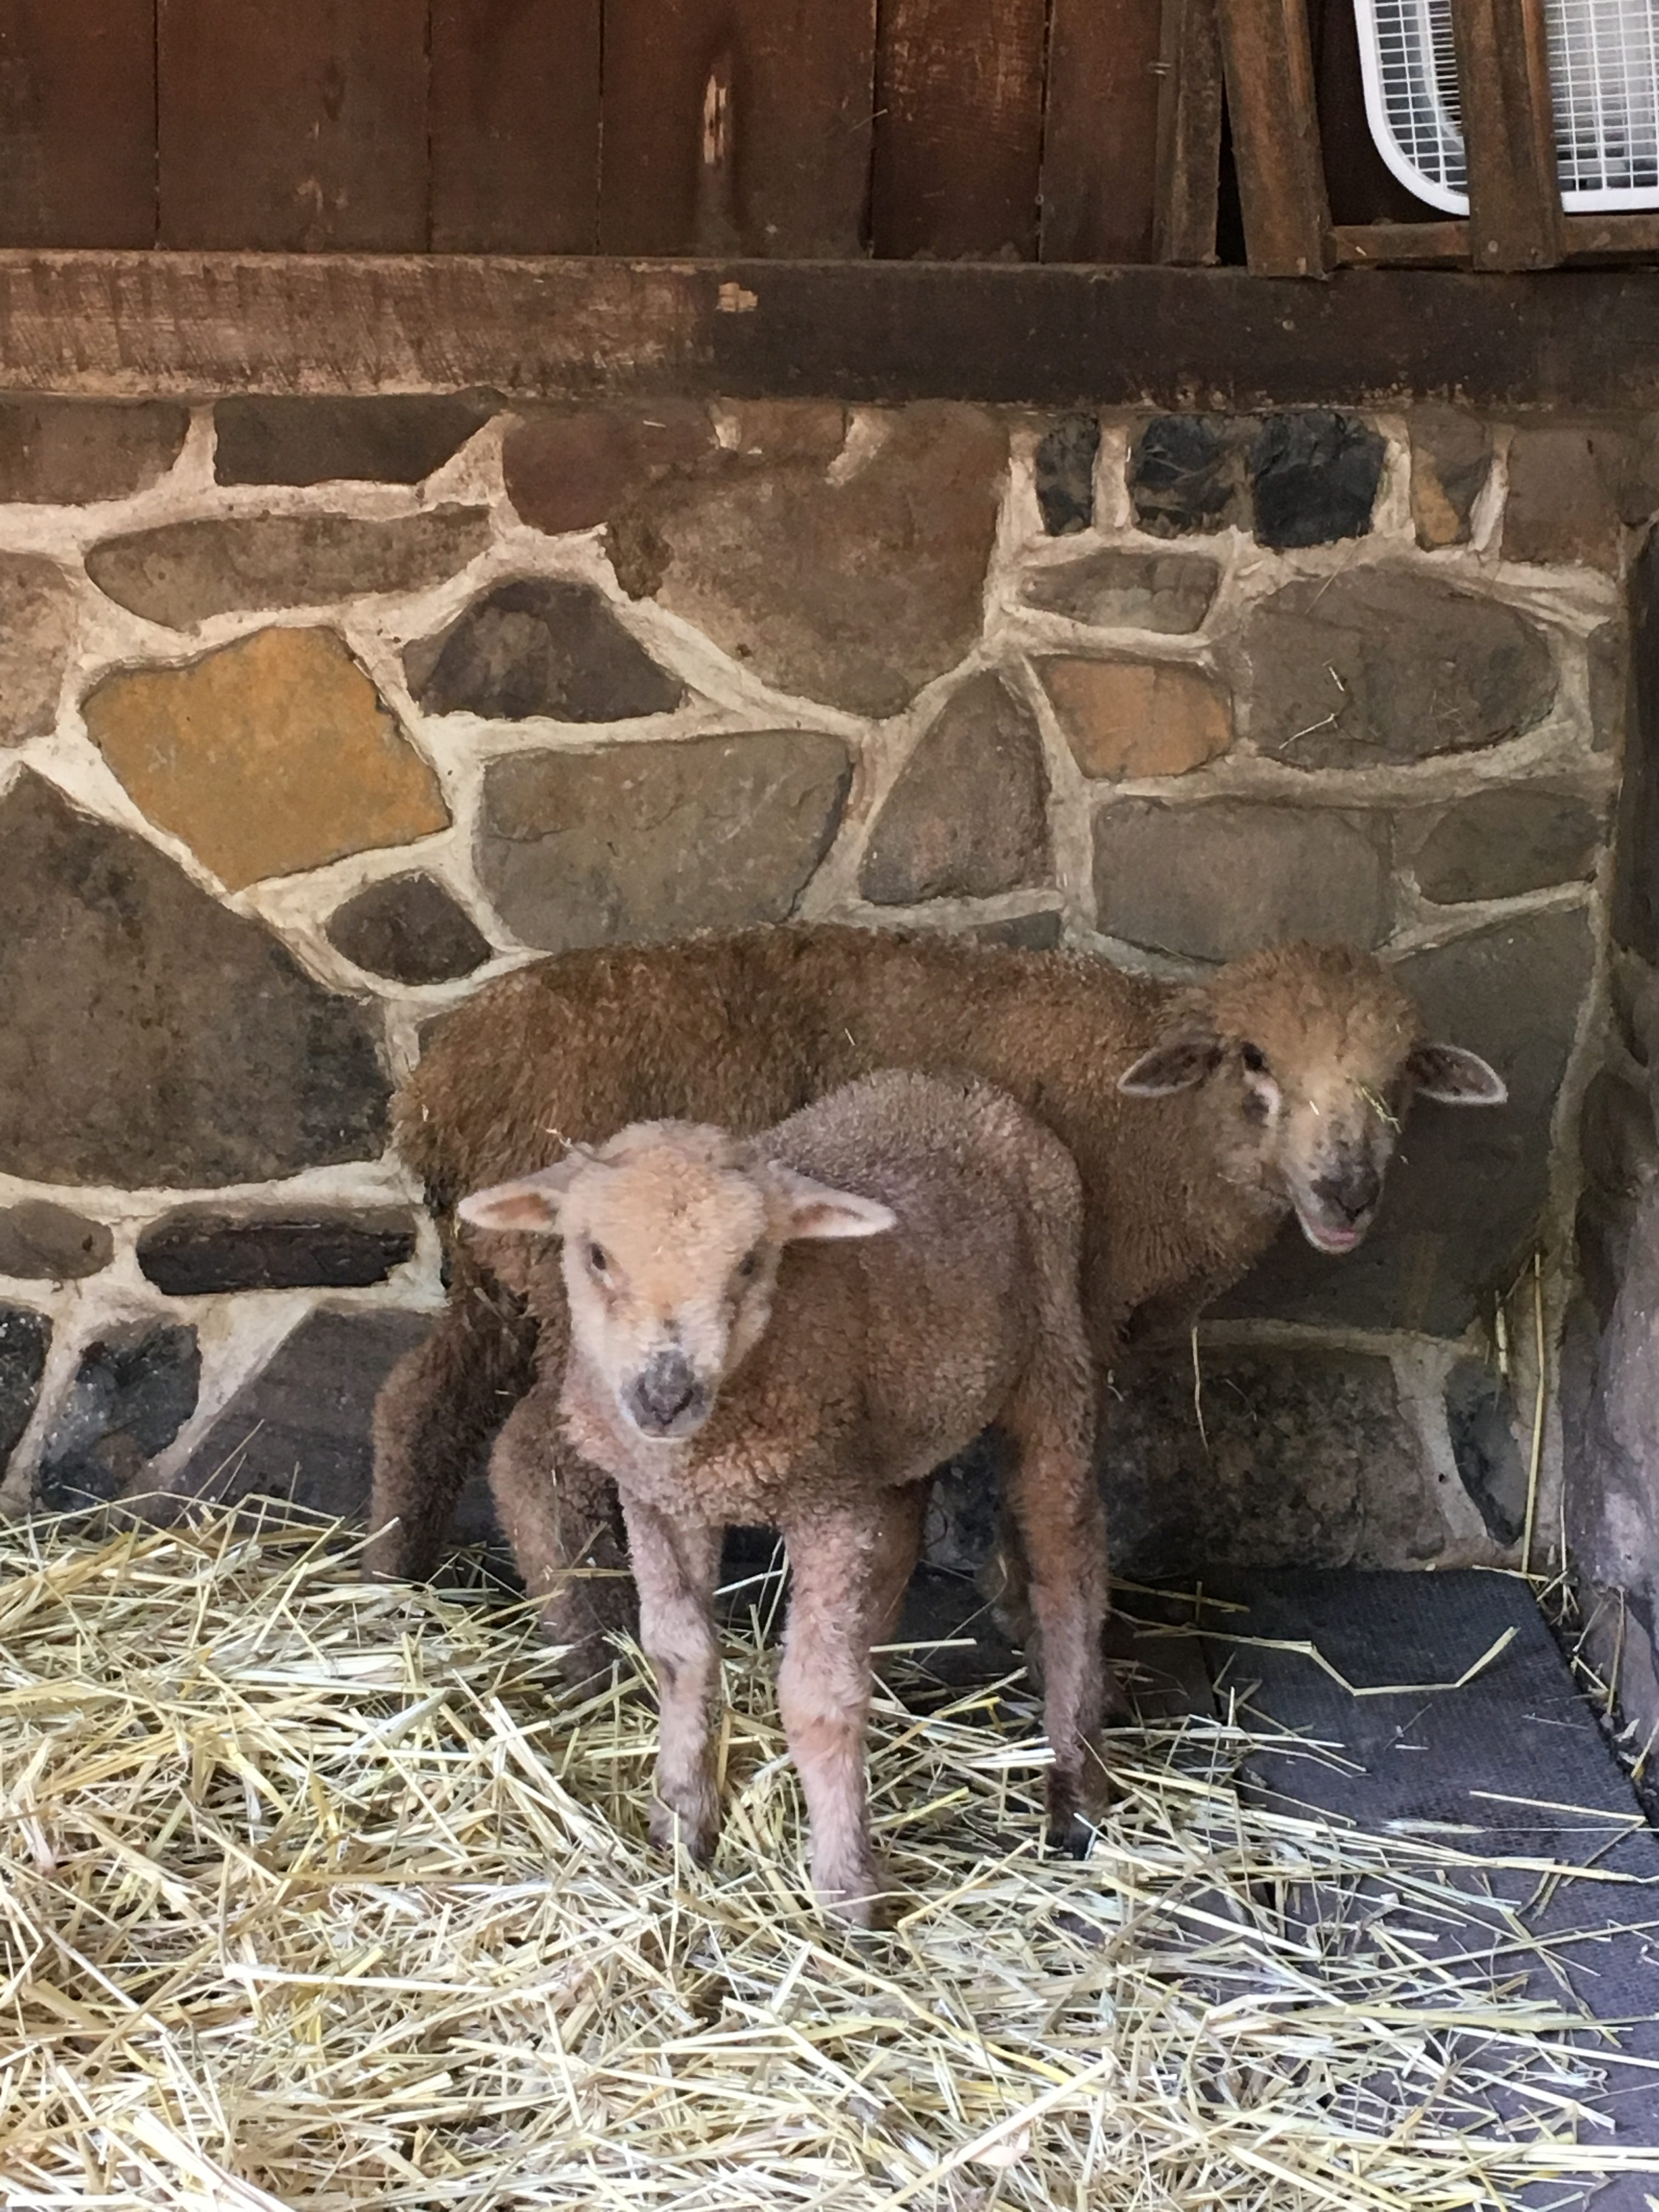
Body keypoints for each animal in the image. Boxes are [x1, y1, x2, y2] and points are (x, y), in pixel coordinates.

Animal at [369, 925, 1506, 1659]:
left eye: (1399, 1075)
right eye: (1254, 1058)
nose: (1345, 1190)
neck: (1163, 1133)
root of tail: (438, 1093)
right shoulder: (1073, 1313)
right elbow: (1043, 1467)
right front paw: (1029, 1609)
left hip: (499, 1282)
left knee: (417, 1405)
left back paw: (395, 1571)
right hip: (590, 1306)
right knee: (530, 1459)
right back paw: (591, 1649)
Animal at [456, 1070, 1112, 1924]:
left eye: (749, 1263)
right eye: (595, 1254)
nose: (664, 1395)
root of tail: (952, 1085)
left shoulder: (826, 1504)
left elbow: (817, 1695)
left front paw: (845, 1890)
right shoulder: (662, 1499)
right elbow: (680, 1656)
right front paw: (682, 1824)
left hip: (1053, 1357)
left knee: (1067, 1562)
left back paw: (1074, 1786)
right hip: (892, 1429)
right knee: (901, 1537)